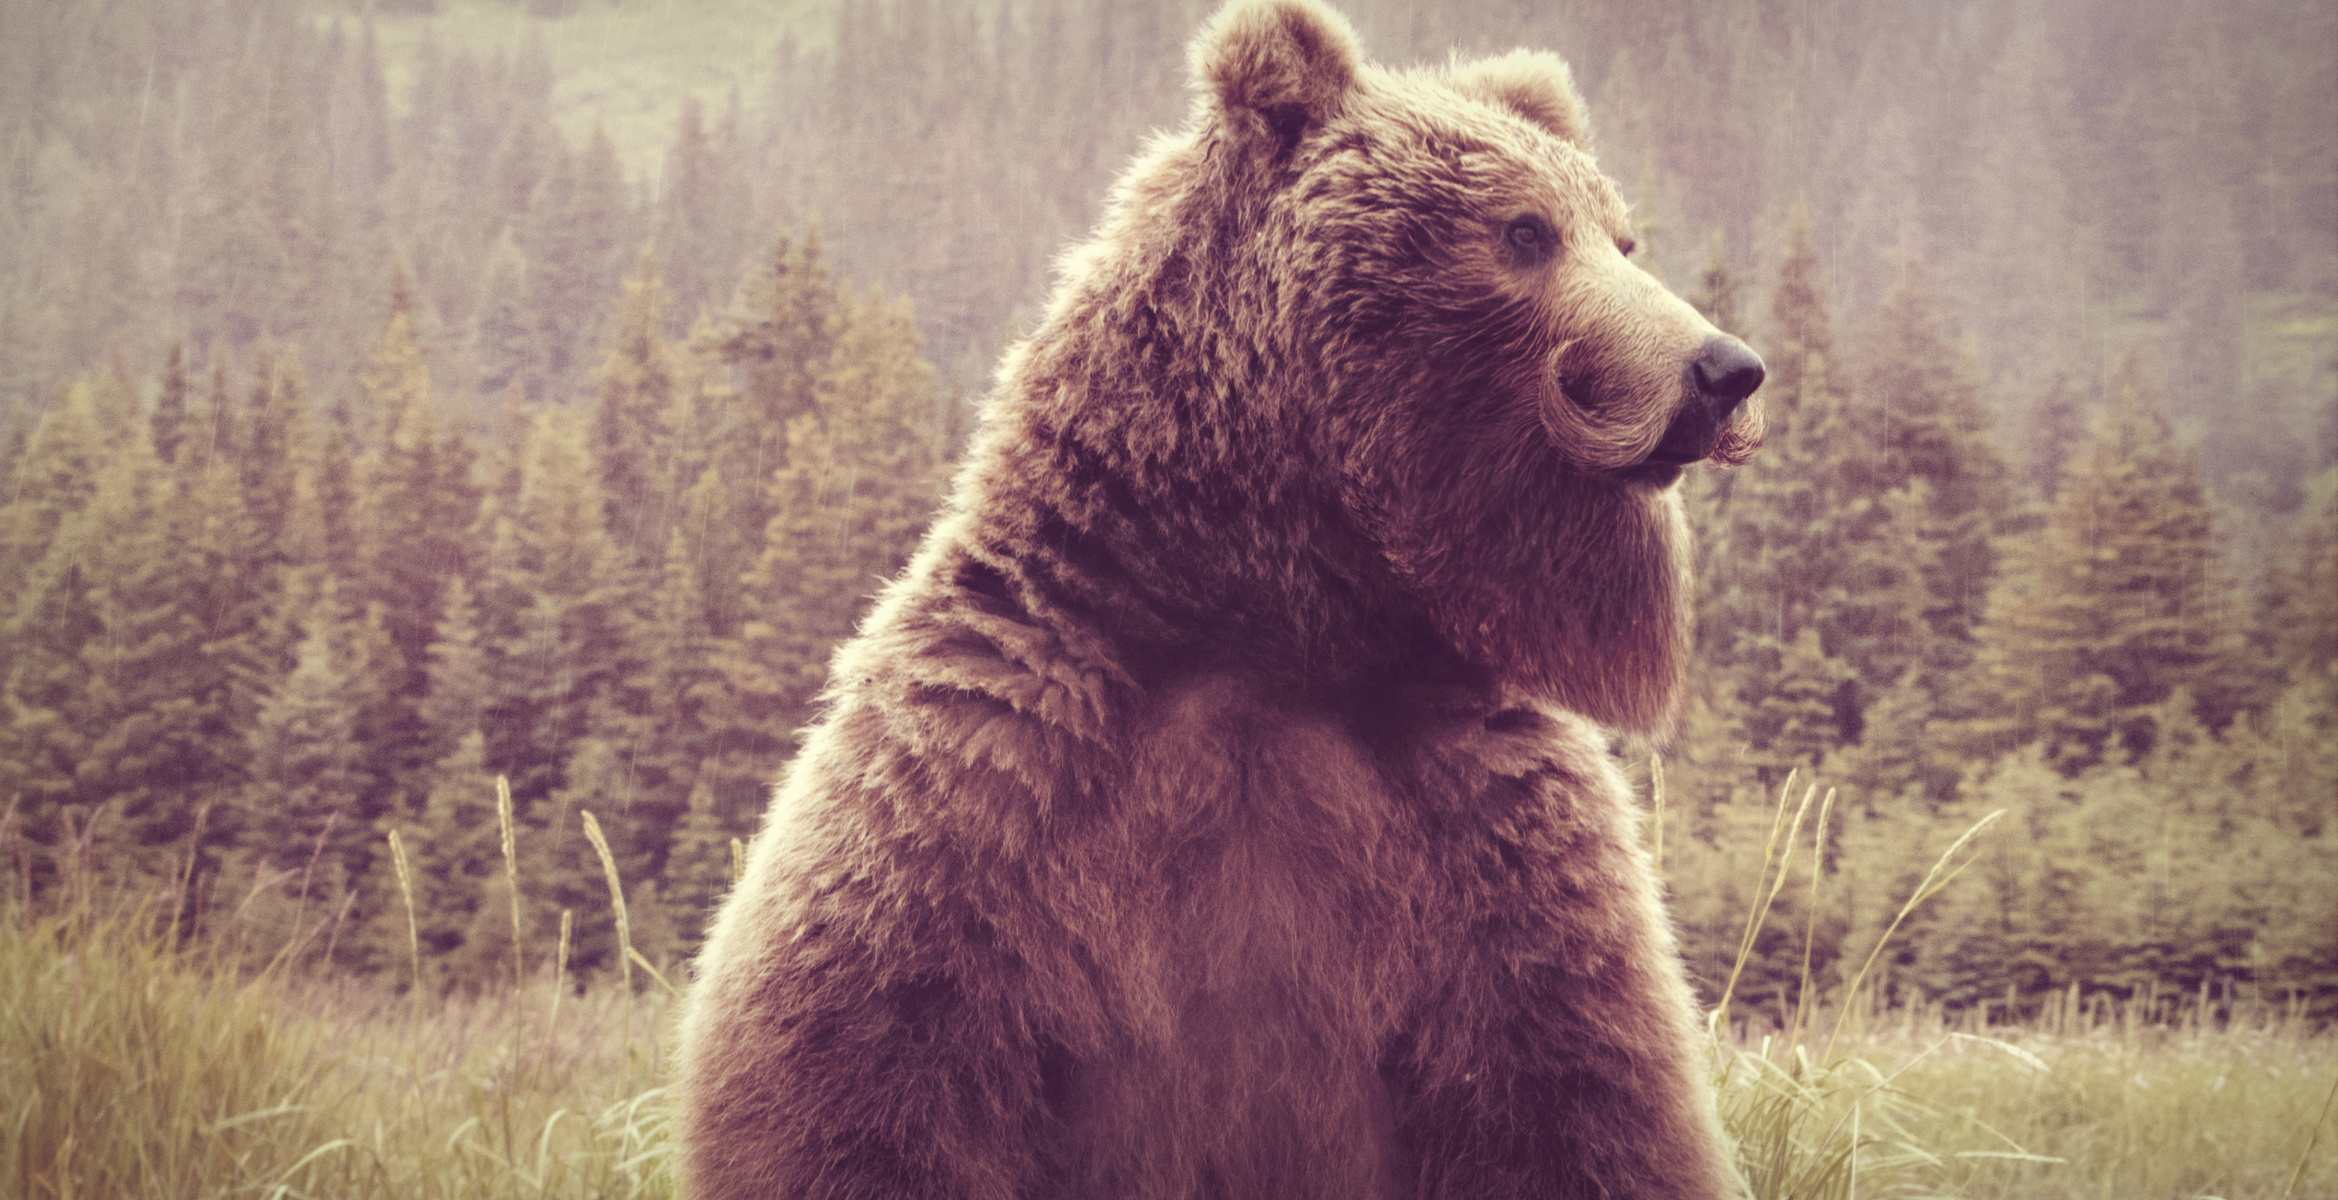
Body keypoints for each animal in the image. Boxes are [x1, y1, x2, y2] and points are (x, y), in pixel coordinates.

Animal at [674, 1, 1764, 1196]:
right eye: (1524, 231)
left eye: (1620, 236)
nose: (1724, 368)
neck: (1269, 617)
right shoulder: (986, 778)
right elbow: (868, 1082)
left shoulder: (1491, 828)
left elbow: (1577, 1100)